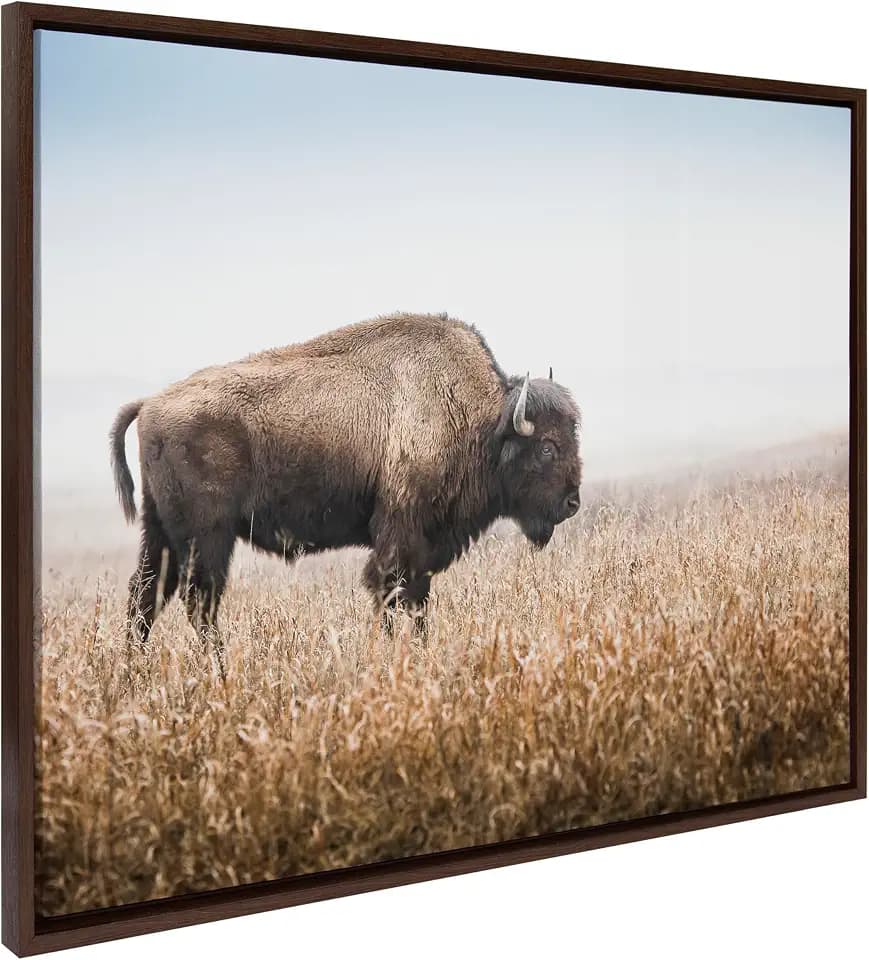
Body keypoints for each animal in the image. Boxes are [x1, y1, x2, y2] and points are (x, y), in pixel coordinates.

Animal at [110, 313, 582, 656]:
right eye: (547, 447)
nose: (572, 503)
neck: (480, 421)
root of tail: (150, 403)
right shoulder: (399, 536)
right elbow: (390, 592)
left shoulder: (423, 548)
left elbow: (418, 600)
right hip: (206, 537)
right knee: (198, 601)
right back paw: (218, 665)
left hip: (161, 533)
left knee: (146, 595)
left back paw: (136, 666)